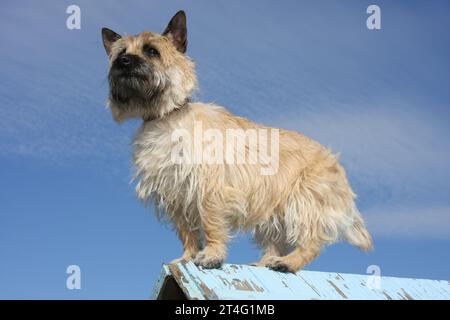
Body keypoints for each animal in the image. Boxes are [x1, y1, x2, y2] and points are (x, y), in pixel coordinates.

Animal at [102, 10, 372, 272]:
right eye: (121, 53)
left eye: (151, 51)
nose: (123, 62)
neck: (165, 116)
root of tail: (335, 163)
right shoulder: (175, 194)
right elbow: (187, 232)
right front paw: (187, 258)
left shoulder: (209, 188)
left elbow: (210, 224)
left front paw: (211, 256)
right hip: (273, 211)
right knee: (277, 242)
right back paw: (265, 262)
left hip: (303, 203)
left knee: (312, 241)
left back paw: (288, 263)